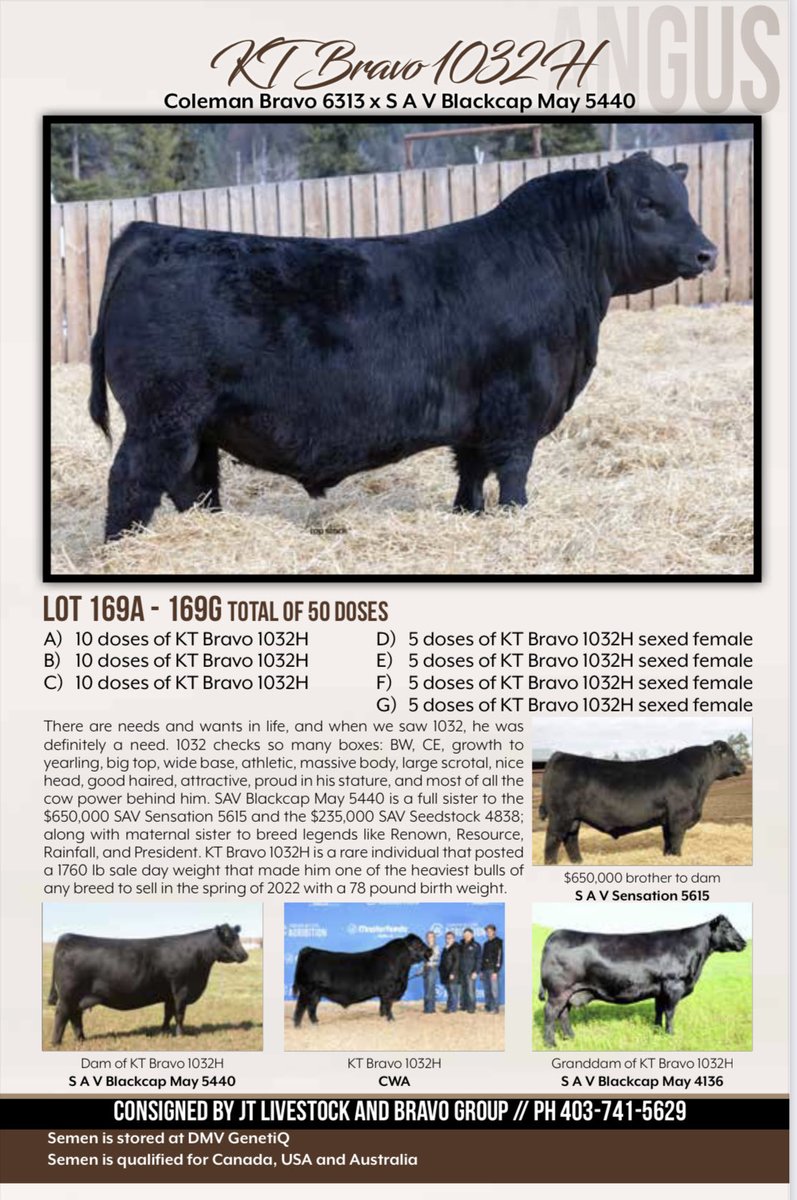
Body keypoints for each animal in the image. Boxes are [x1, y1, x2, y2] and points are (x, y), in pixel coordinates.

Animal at [47, 924, 248, 1044]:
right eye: (228, 938)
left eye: (237, 937)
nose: (245, 955)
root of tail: (68, 937)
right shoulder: (181, 989)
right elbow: (179, 1014)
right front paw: (180, 1035)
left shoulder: (169, 993)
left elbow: (168, 1013)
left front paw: (164, 1032)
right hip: (68, 995)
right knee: (61, 1015)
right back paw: (56, 1042)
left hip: (78, 997)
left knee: (75, 1016)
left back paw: (81, 1039)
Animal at [87, 152, 717, 540]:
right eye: (647, 204)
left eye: (684, 198)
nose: (707, 252)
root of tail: (150, 232)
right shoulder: (519, 408)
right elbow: (513, 476)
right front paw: (514, 520)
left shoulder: (477, 419)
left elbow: (470, 476)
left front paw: (468, 516)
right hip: (161, 416)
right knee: (132, 484)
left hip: (197, 426)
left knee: (193, 484)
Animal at [292, 933, 431, 1025]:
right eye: (418, 943)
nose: (430, 950)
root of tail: (309, 949)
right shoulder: (388, 990)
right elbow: (388, 1006)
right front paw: (391, 1020)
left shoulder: (383, 993)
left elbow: (382, 1006)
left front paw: (382, 1017)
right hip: (306, 990)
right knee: (300, 1008)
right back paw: (298, 1026)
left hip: (316, 992)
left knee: (311, 1007)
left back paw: (316, 1022)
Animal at [538, 915, 746, 1046]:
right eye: (727, 927)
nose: (744, 943)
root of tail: (554, 935)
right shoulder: (673, 986)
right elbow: (670, 1013)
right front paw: (670, 1035)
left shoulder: (660, 990)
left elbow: (659, 1010)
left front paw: (657, 1032)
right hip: (558, 991)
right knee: (550, 1013)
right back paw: (551, 1044)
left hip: (569, 992)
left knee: (563, 1014)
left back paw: (570, 1038)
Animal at [539, 740, 746, 864]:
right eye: (729, 754)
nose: (743, 766)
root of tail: (560, 755)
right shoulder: (679, 816)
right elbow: (677, 840)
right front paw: (677, 857)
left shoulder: (667, 818)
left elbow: (667, 840)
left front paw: (667, 857)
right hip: (560, 815)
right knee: (553, 839)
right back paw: (552, 863)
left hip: (573, 817)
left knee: (570, 839)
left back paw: (579, 862)